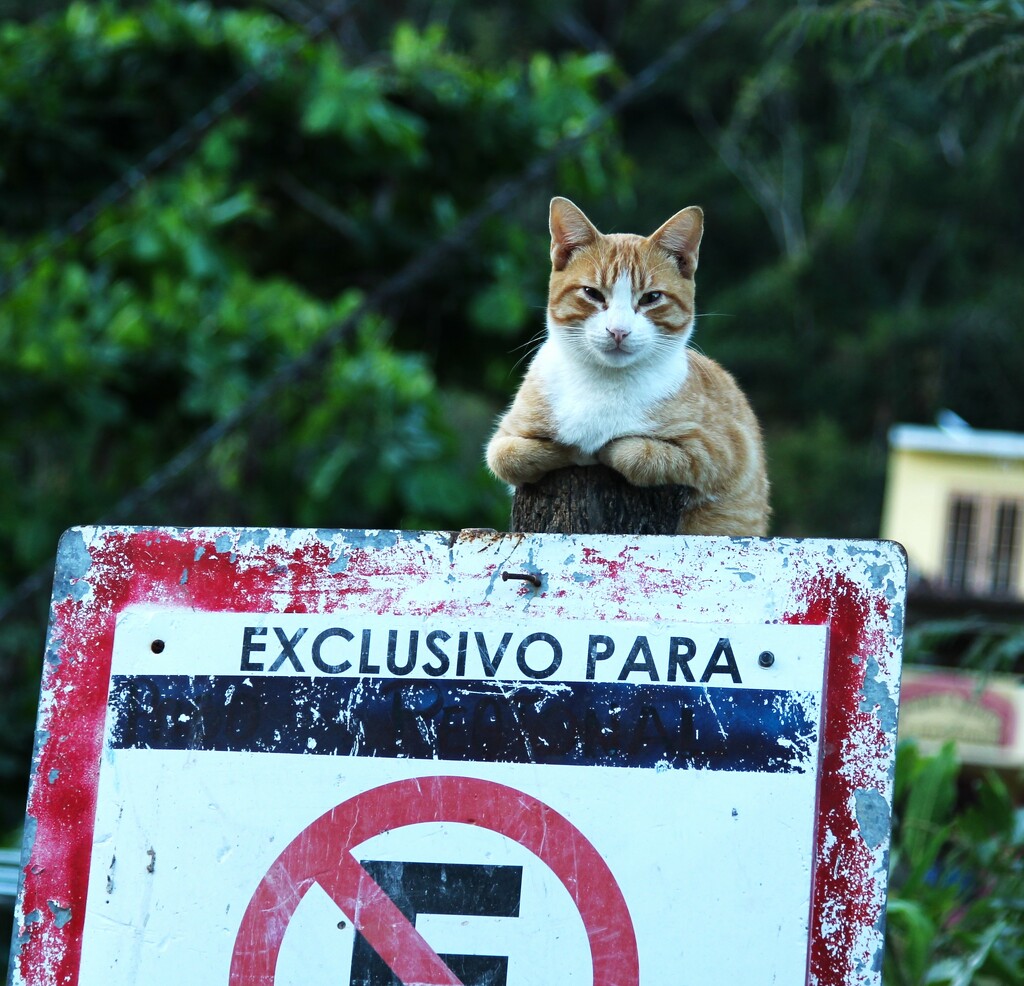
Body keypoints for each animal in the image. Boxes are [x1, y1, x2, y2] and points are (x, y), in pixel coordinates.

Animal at [487, 196, 770, 536]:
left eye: (651, 298)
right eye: (592, 293)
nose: (618, 331)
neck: (604, 381)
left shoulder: (721, 453)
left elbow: (637, 453)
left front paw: (599, 450)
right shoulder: (503, 438)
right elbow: (510, 457)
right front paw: (572, 451)